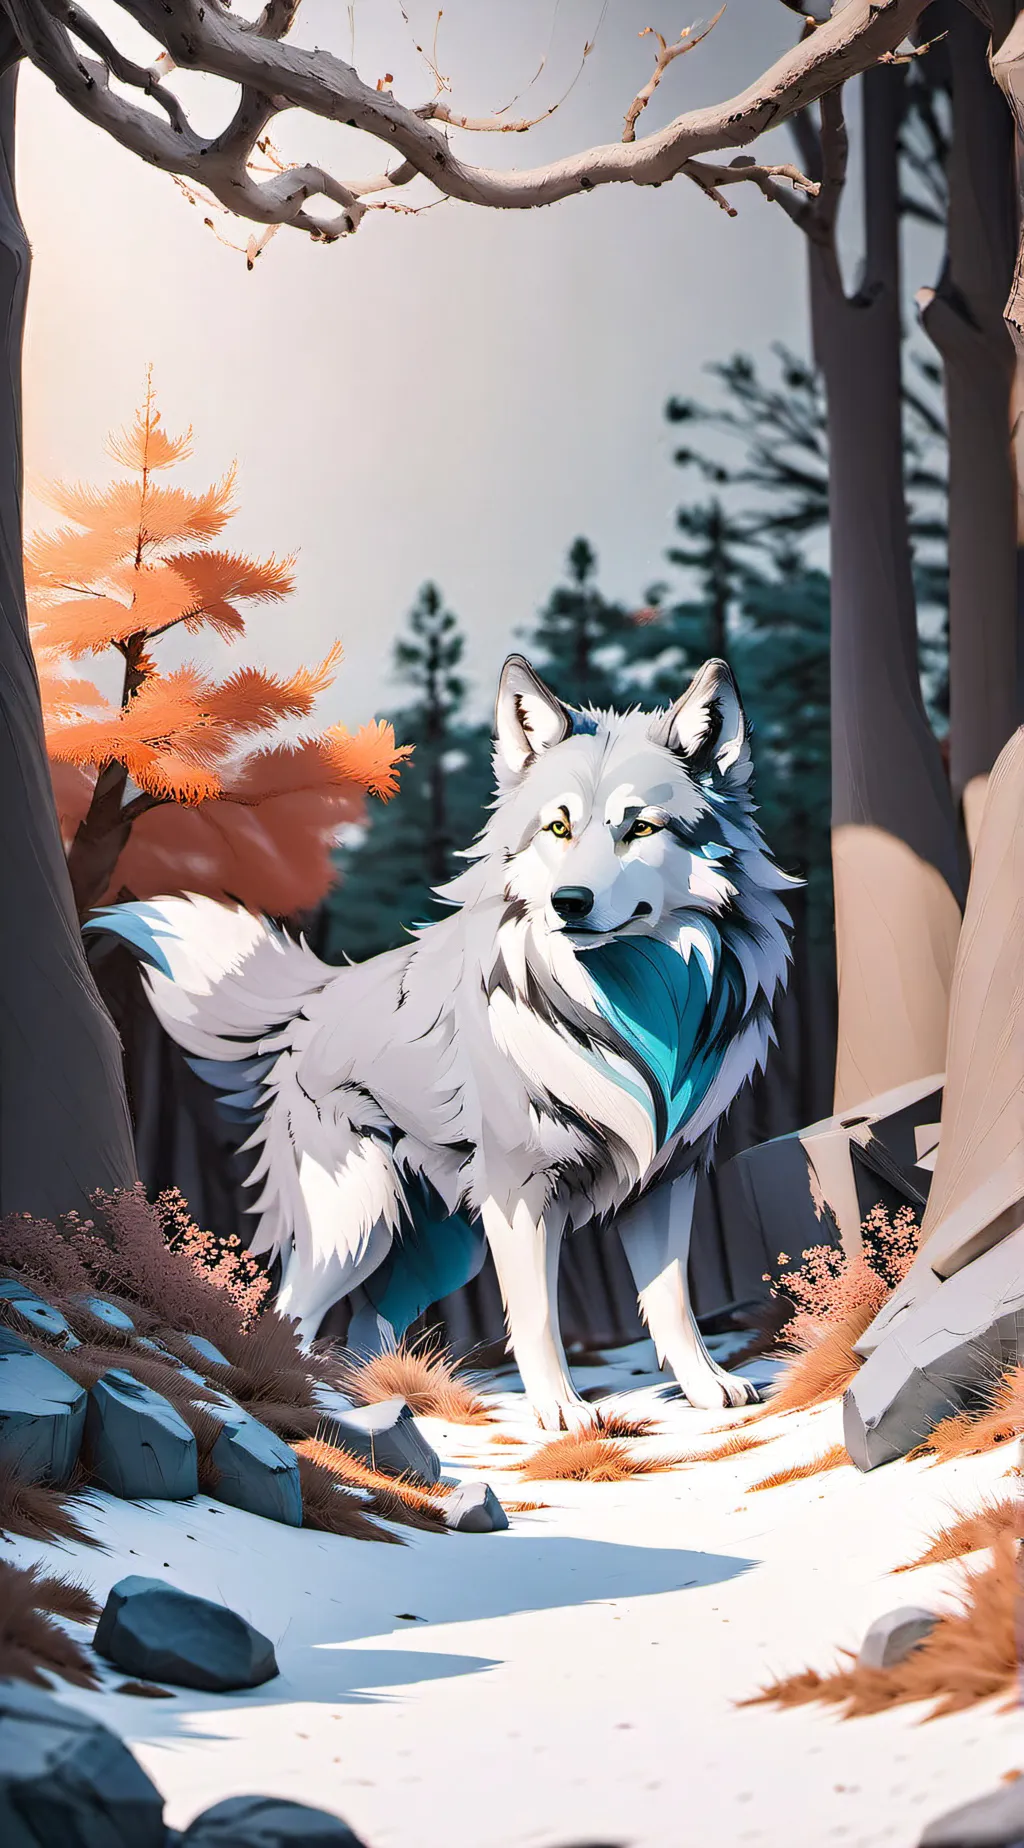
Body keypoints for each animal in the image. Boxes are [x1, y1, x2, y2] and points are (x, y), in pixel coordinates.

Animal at [91, 655, 797, 1430]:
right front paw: (561, 1412)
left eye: (639, 828)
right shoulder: (523, 1194)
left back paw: (392, 1401)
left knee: (367, 1327)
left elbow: (672, 1299)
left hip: (442, 1253)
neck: (629, 1009)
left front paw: (707, 1390)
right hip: (359, 1225)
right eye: (558, 827)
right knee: (288, 1315)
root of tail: (322, 993)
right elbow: (537, 1314)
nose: (569, 903)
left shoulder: (666, 1180)